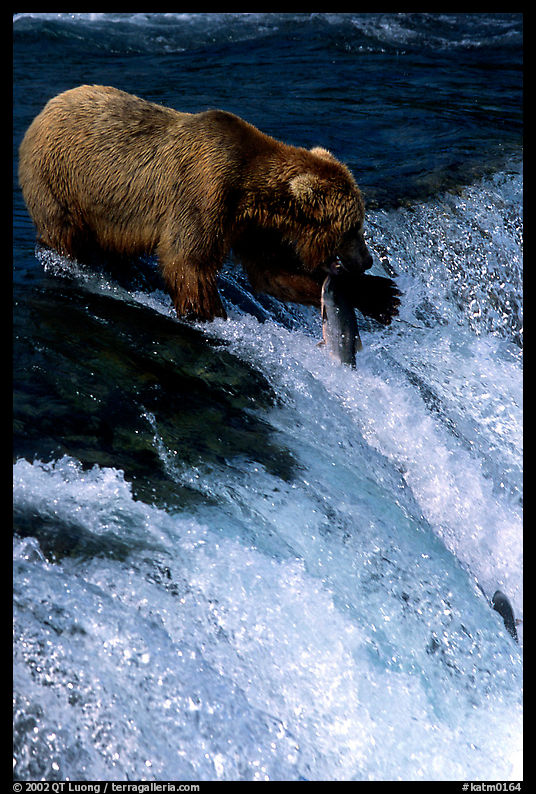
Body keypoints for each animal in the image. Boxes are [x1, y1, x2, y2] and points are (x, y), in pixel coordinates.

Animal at [19, 85, 400, 324]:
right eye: (353, 227)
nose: (368, 260)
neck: (251, 191)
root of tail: (45, 109)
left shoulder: (251, 226)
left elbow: (274, 274)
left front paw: (383, 296)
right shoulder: (204, 192)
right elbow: (188, 261)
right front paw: (210, 314)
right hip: (60, 183)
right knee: (64, 235)